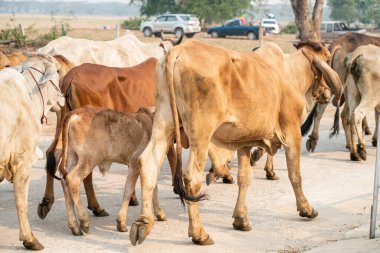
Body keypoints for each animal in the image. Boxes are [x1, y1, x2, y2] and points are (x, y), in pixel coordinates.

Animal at [37, 56, 177, 219]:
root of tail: (70, 76)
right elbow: (170, 159)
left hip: (63, 123)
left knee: (53, 153)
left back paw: (47, 202)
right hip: (91, 145)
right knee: (83, 174)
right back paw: (95, 206)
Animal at [58, 105, 166, 235]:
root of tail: (76, 113)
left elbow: (154, 187)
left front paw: (160, 213)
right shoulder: (135, 164)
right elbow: (129, 191)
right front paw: (121, 223)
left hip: (72, 156)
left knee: (64, 181)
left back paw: (74, 226)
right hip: (89, 159)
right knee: (73, 180)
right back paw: (84, 222)